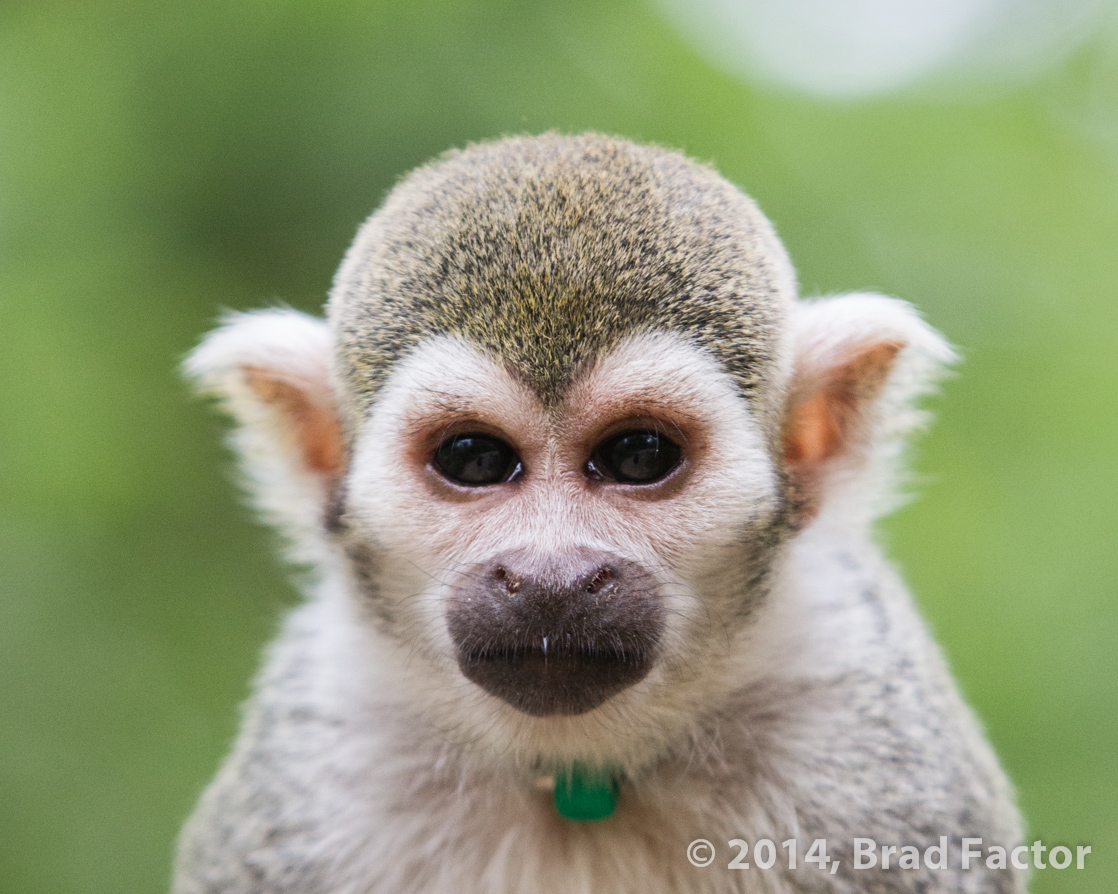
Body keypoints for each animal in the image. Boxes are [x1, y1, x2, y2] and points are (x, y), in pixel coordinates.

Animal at [175, 132, 1025, 894]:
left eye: (639, 455)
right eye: (474, 459)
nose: (552, 574)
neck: (576, 770)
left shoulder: (869, 732)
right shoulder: (315, 759)